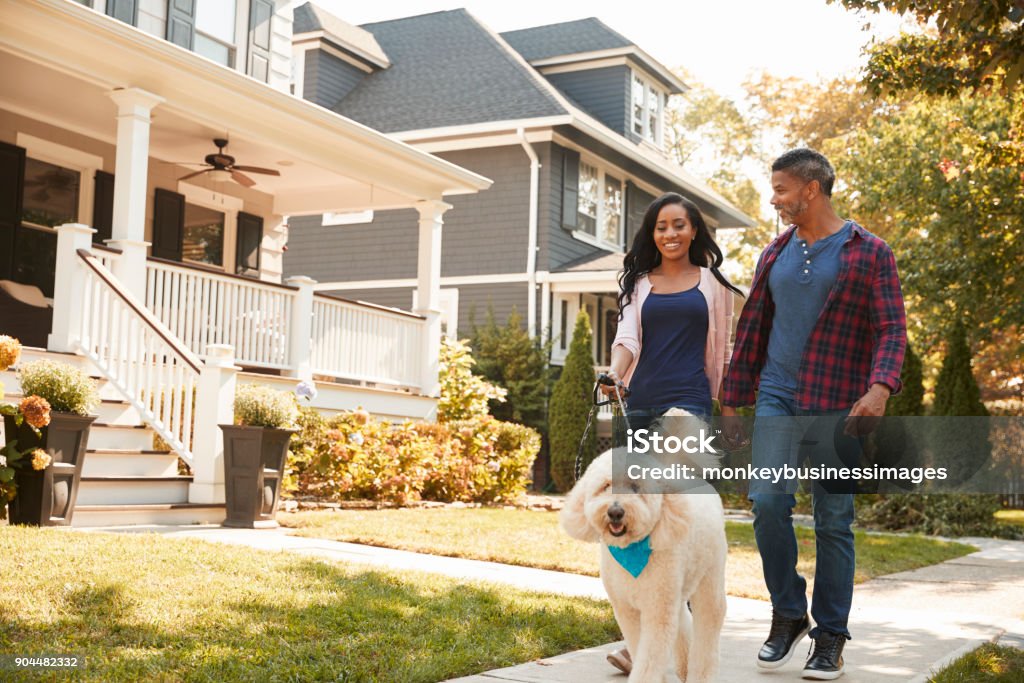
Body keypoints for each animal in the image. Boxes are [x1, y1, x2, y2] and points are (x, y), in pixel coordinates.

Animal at [561, 409, 729, 679]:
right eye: (605, 485)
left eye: (635, 486)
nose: (615, 512)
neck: (631, 550)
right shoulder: (627, 610)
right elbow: (639, 648)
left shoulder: (656, 612)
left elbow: (649, 660)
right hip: (676, 590)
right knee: (683, 619)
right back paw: (683, 667)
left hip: (709, 578)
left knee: (708, 624)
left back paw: (698, 673)